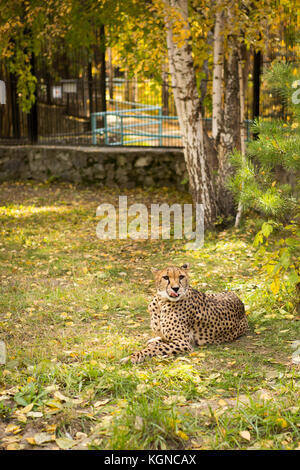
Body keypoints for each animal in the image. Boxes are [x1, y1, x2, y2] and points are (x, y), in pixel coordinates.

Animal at [120, 262, 250, 366]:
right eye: (165, 277)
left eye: (181, 276)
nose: (176, 288)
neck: (161, 302)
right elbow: (159, 341)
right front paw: (153, 341)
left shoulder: (183, 342)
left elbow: (156, 348)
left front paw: (133, 357)